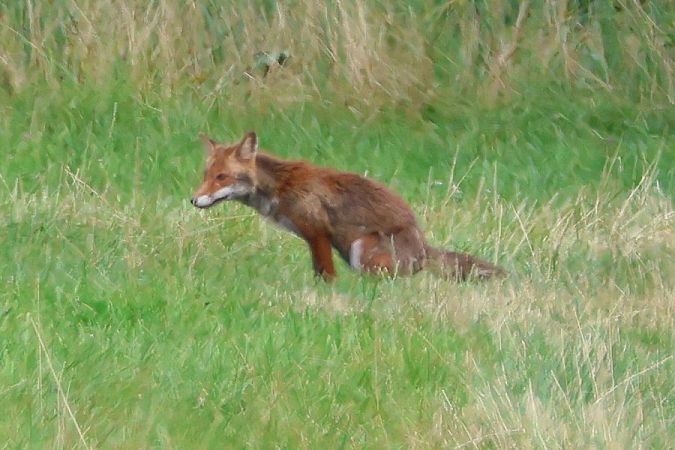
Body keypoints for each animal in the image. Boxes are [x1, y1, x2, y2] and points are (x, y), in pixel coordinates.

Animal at [191, 131, 505, 281]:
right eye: (206, 176)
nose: (193, 200)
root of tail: (424, 248)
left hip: (361, 249)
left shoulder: (318, 233)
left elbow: (326, 274)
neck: (282, 186)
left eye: (222, 177)